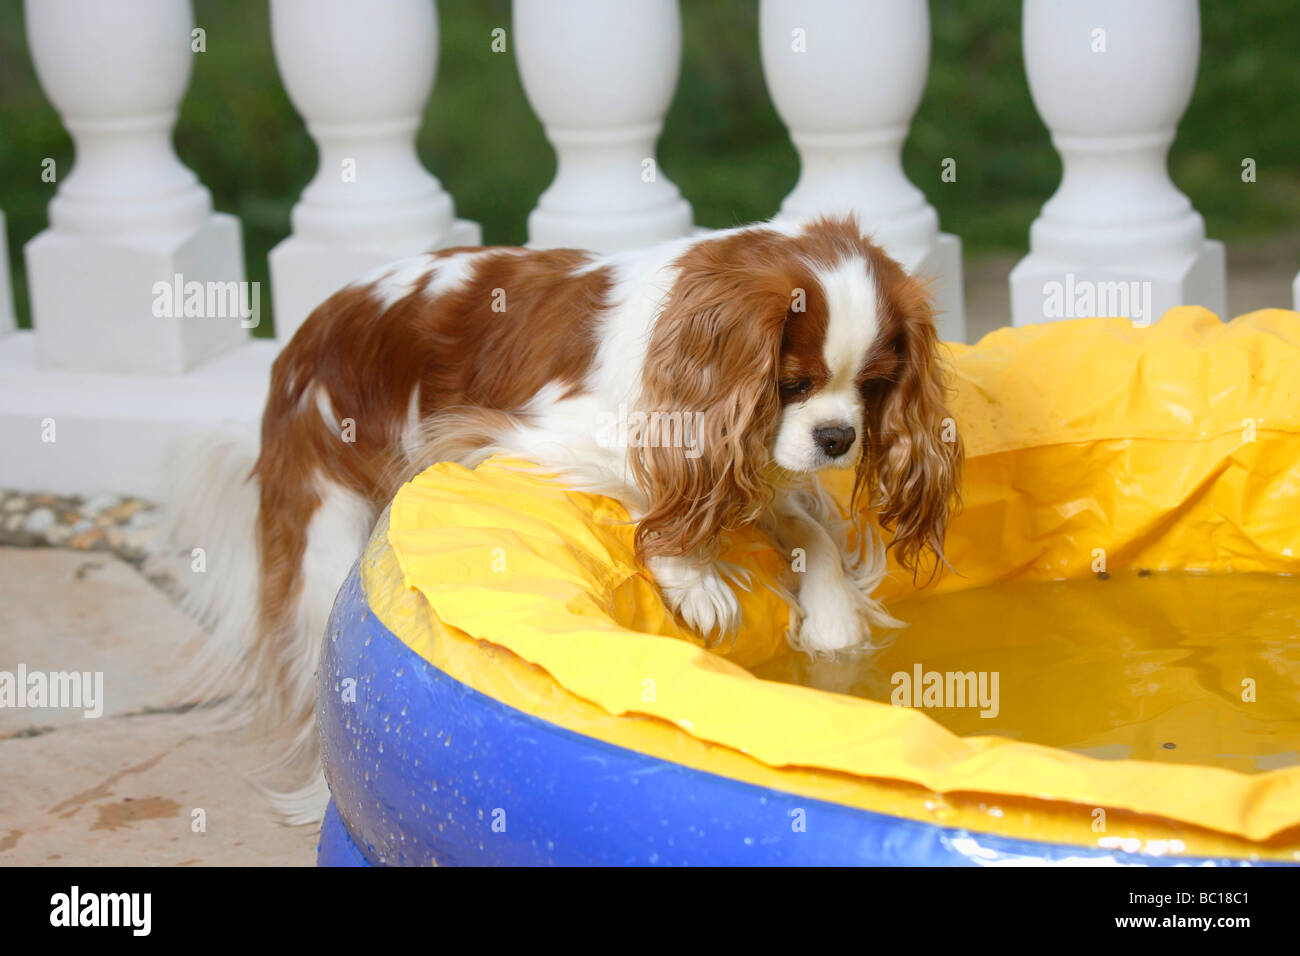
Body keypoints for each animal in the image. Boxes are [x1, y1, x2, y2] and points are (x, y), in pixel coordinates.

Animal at [162, 214, 961, 822]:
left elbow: (811, 532)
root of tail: (296, 342)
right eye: (791, 383)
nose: (837, 437)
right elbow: (650, 494)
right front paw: (695, 577)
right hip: (326, 523)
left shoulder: (759, 469)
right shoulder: (528, 433)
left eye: (874, 385)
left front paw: (832, 616)